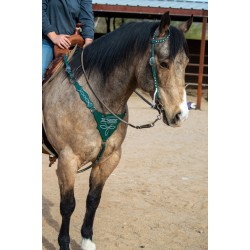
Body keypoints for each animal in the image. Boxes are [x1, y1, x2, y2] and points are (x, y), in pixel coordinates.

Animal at [42, 11, 192, 250]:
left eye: (186, 63)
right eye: (164, 63)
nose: (181, 115)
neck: (96, 98)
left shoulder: (109, 159)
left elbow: (93, 199)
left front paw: (87, 240)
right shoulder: (67, 161)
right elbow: (67, 205)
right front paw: (64, 244)